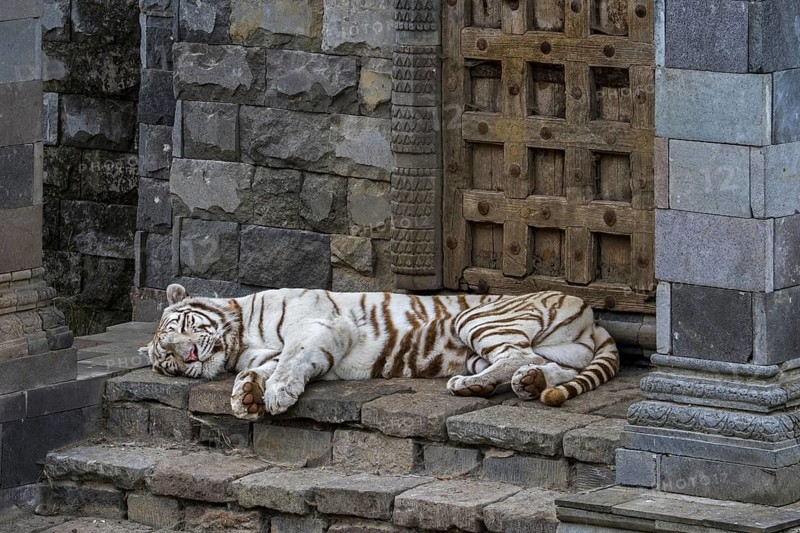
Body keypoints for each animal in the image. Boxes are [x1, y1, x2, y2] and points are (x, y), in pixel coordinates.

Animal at [141, 283, 619, 420]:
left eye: (184, 328)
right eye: (167, 360)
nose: (189, 357)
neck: (240, 340)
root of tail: (592, 316)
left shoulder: (318, 327)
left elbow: (290, 362)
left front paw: (274, 395)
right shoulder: (266, 355)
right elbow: (257, 371)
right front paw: (246, 396)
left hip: (478, 319)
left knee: (518, 355)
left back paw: (468, 385)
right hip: (554, 353)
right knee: (539, 363)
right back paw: (526, 385)